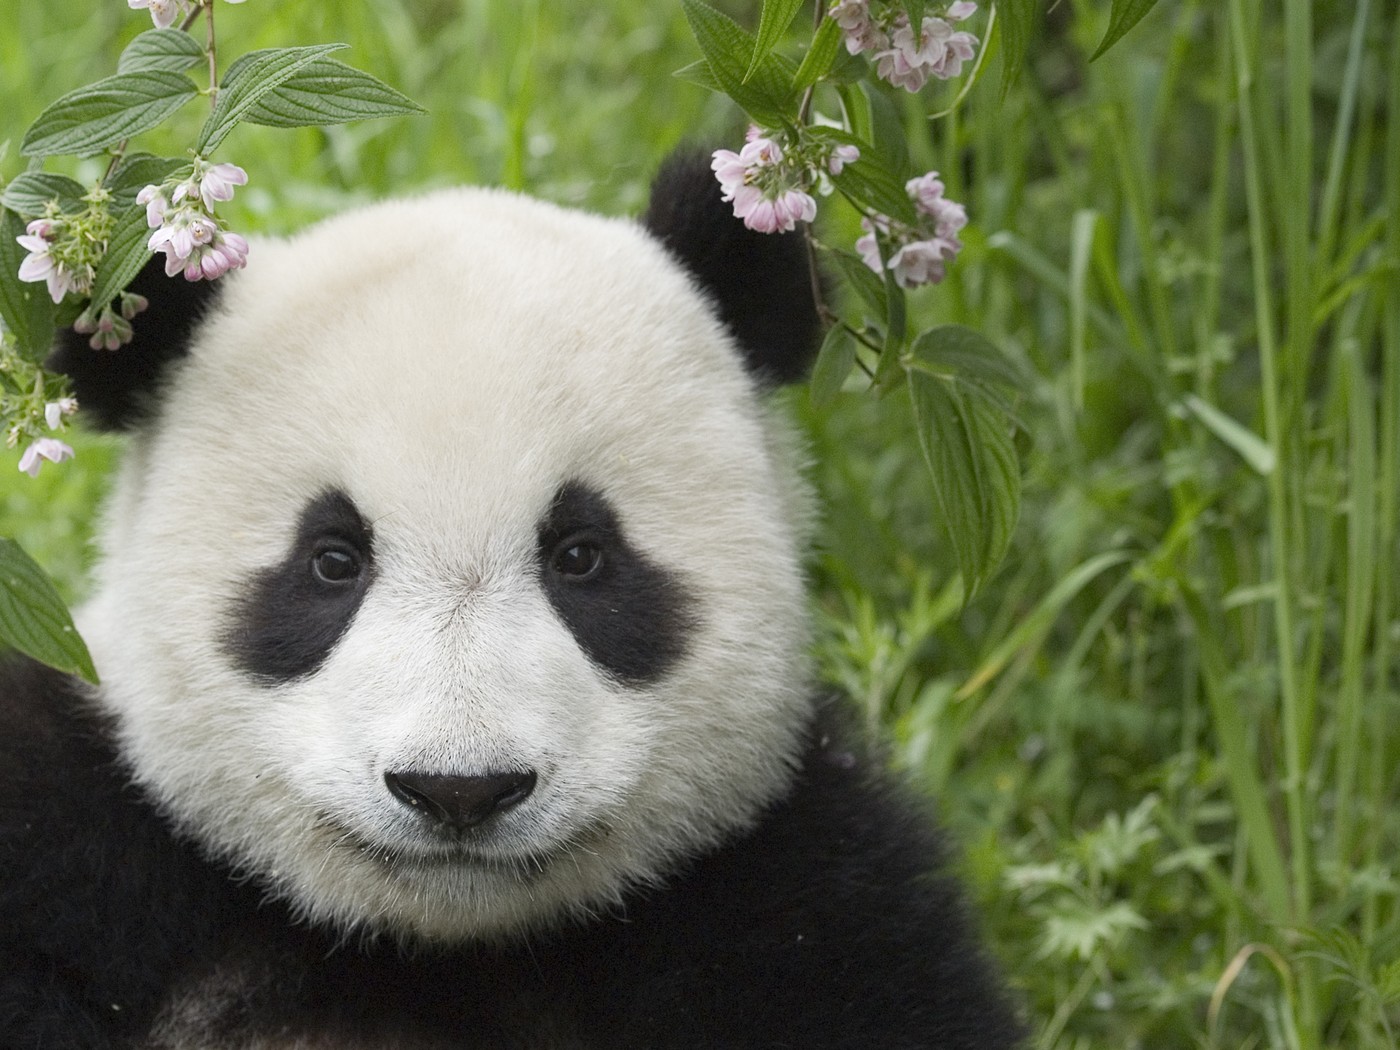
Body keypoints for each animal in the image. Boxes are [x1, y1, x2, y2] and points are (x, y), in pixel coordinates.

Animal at [0, 151, 1022, 1049]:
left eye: (581, 556)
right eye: (332, 562)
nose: (459, 790)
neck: (441, 950)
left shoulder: (800, 892)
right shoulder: (81, 848)